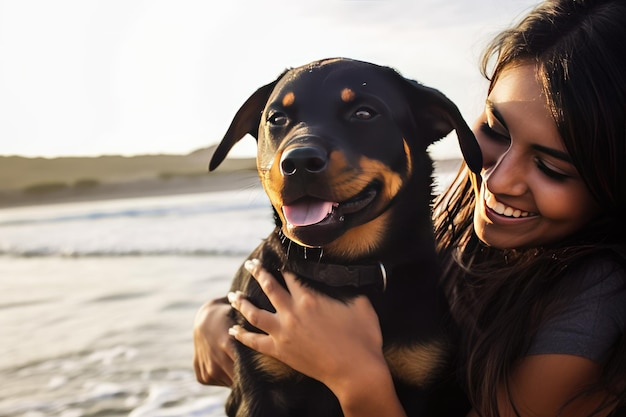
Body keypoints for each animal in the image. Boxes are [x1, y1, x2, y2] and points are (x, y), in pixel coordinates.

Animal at [207, 57, 480, 416]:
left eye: (364, 113)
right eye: (277, 119)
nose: (298, 162)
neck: (340, 269)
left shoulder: (422, 373)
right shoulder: (259, 385)